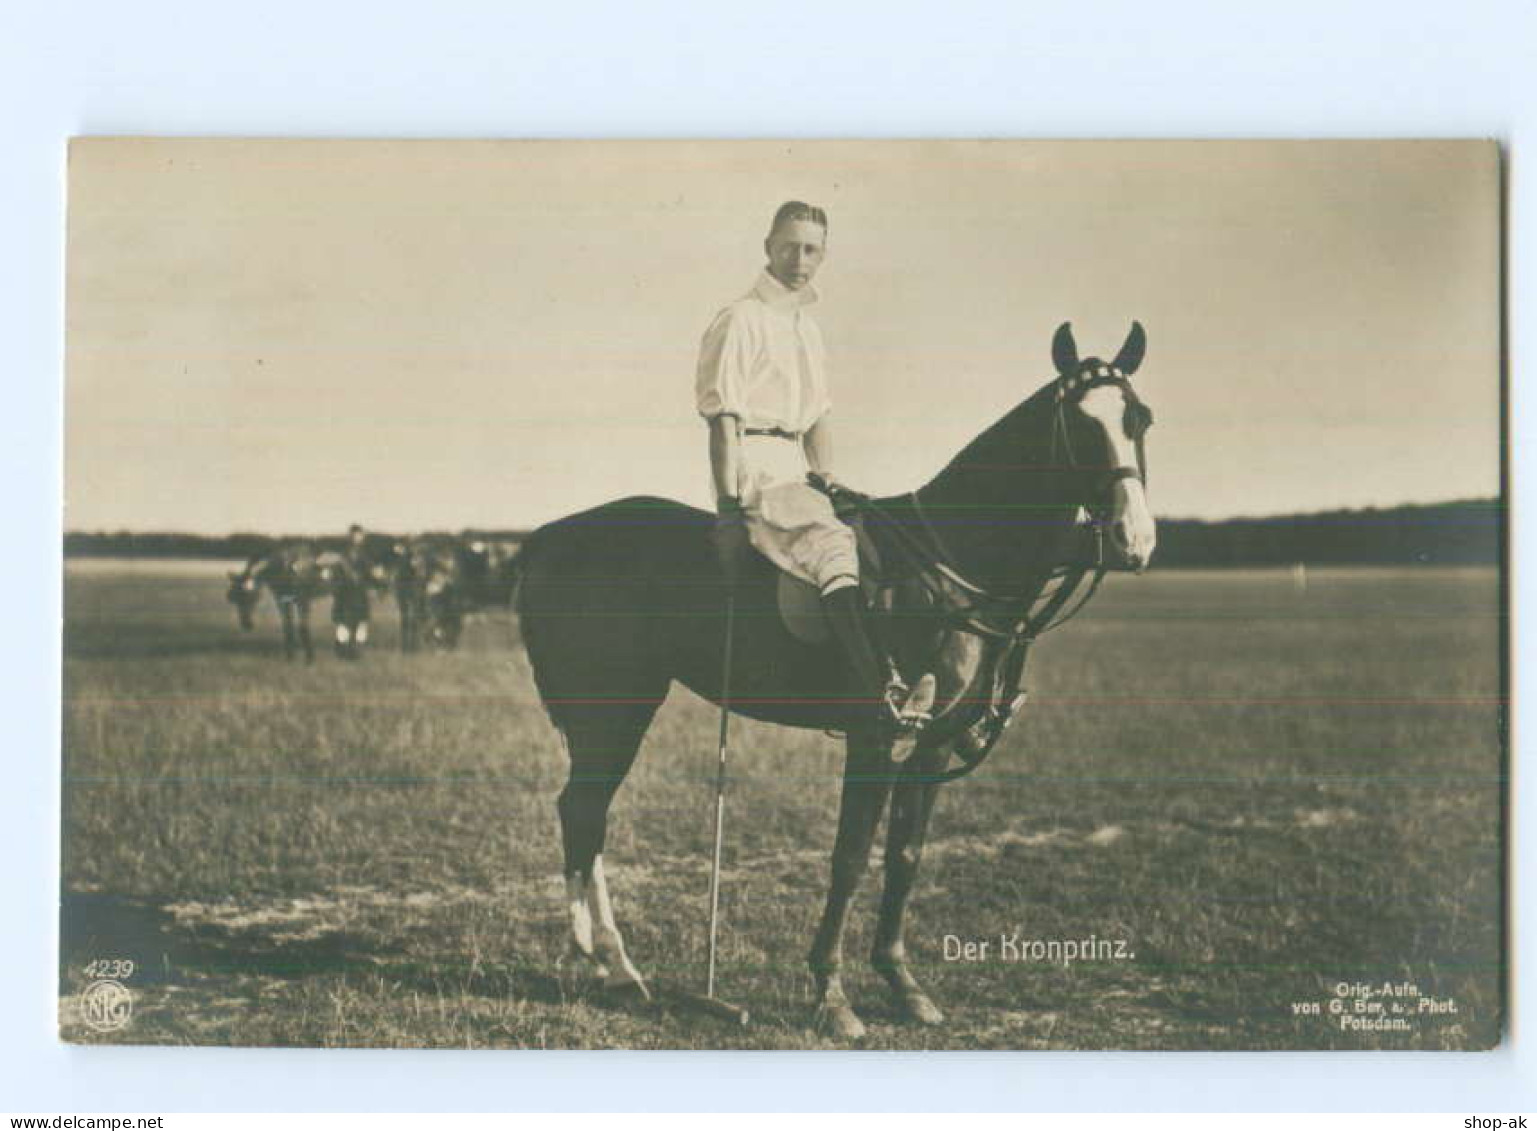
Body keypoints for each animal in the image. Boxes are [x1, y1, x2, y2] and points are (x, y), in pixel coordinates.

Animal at [513, 322, 1155, 1038]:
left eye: (1140, 419)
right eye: (1080, 424)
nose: (1134, 540)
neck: (954, 568)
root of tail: (546, 538)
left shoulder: (931, 746)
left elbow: (905, 856)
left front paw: (904, 985)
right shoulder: (878, 739)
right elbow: (850, 856)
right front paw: (831, 993)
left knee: (587, 812)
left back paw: (604, 962)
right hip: (615, 706)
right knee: (583, 809)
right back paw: (612, 963)